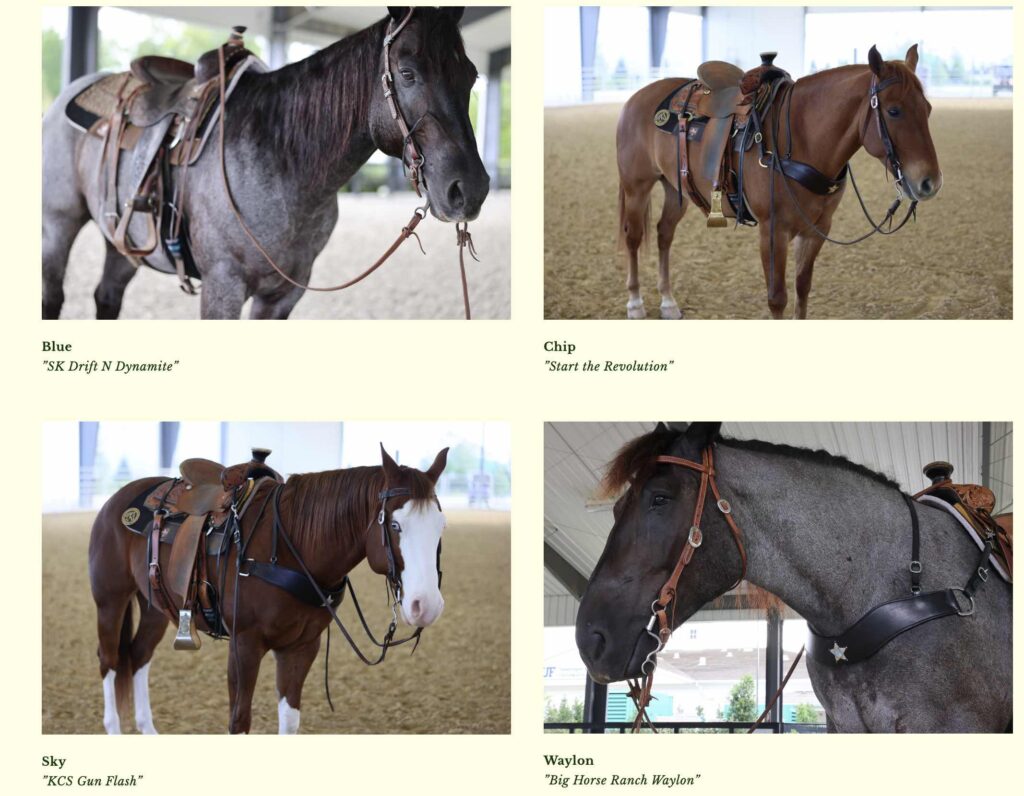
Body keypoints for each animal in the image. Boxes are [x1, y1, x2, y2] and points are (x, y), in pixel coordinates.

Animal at [42, 7, 489, 319]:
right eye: (408, 72)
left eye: (471, 75)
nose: (469, 189)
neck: (281, 162)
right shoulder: (222, 288)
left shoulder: (283, 294)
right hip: (57, 225)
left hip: (121, 239)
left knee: (107, 297)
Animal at [88, 445, 449, 734]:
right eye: (395, 524)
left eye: (441, 526)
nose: (427, 605)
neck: (292, 547)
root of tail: (117, 500)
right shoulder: (244, 645)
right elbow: (239, 721)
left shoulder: (302, 646)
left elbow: (289, 720)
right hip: (111, 601)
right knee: (109, 660)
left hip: (155, 607)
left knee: (138, 656)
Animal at [614, 45, 941, 320]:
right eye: (894, 111)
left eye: (927, 109)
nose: (930, 183)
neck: (800, 138)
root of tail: (636, 98)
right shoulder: (773, 230)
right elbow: (777, 298)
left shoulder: (817, 229)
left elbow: (802, 289)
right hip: (637, 187)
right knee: (633, 237)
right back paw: (635, 304)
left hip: (675, 188)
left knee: (664, 234)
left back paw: (668, 303)